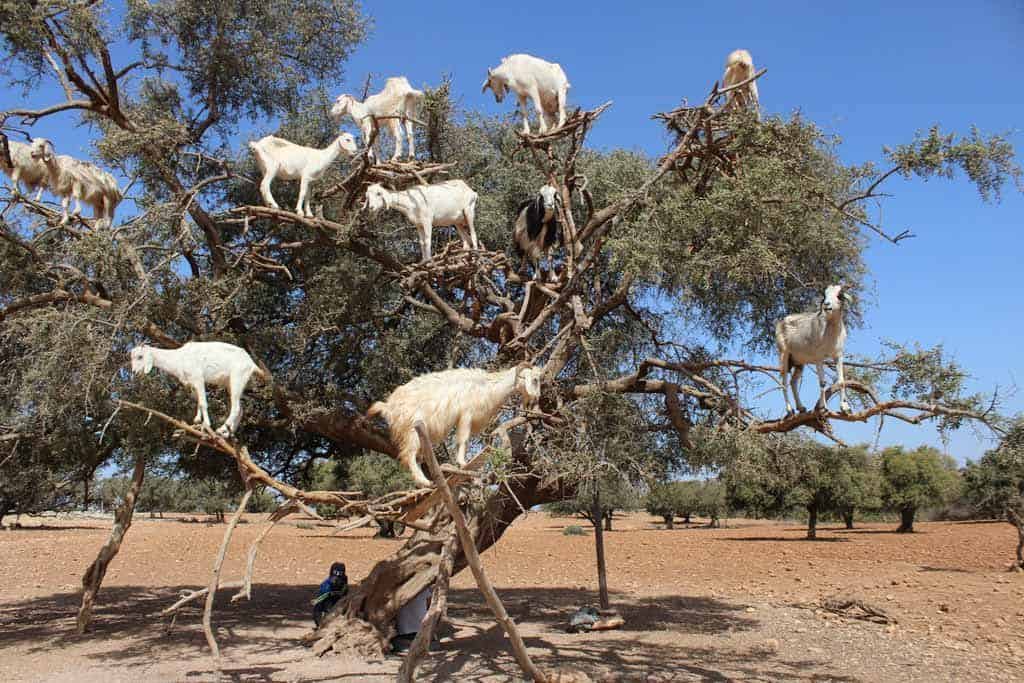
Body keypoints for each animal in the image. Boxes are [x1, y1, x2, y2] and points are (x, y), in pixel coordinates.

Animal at [129, 341, 269, 436]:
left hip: (237, 378)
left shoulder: (198, 378)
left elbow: (203, 403)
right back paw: (228, 433)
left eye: (140, 356)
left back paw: (222, 429)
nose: (135, 372)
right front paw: (197, 420)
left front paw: (206, 424)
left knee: (236, 408)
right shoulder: (192, 383)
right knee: (241, 409)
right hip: (231, 383)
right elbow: (198, 402)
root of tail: (251, 363)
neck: (179, 358)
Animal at [367, 364, 543, 487]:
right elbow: (463, 440)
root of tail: (388, 406)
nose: (537, 398)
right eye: (534, 380)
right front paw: (463, 463)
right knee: (409, 456)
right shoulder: (466, 415)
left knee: (416, 457)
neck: (487, 386)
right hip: (410, 431)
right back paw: (424, 482)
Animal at [775, 284, 851, 415]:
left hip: (799, 362)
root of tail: (781, 322)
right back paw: (789, 410)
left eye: (839, 295)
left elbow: (841, 381)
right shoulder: (818, 358)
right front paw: (823, 408)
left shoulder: (838, 355)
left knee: (793, 382)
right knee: (784, 381)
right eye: (825, 295)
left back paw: (801, 407)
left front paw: (845, 408)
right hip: (784, 354)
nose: (826, 305)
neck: (830, 332)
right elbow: (822, 382)